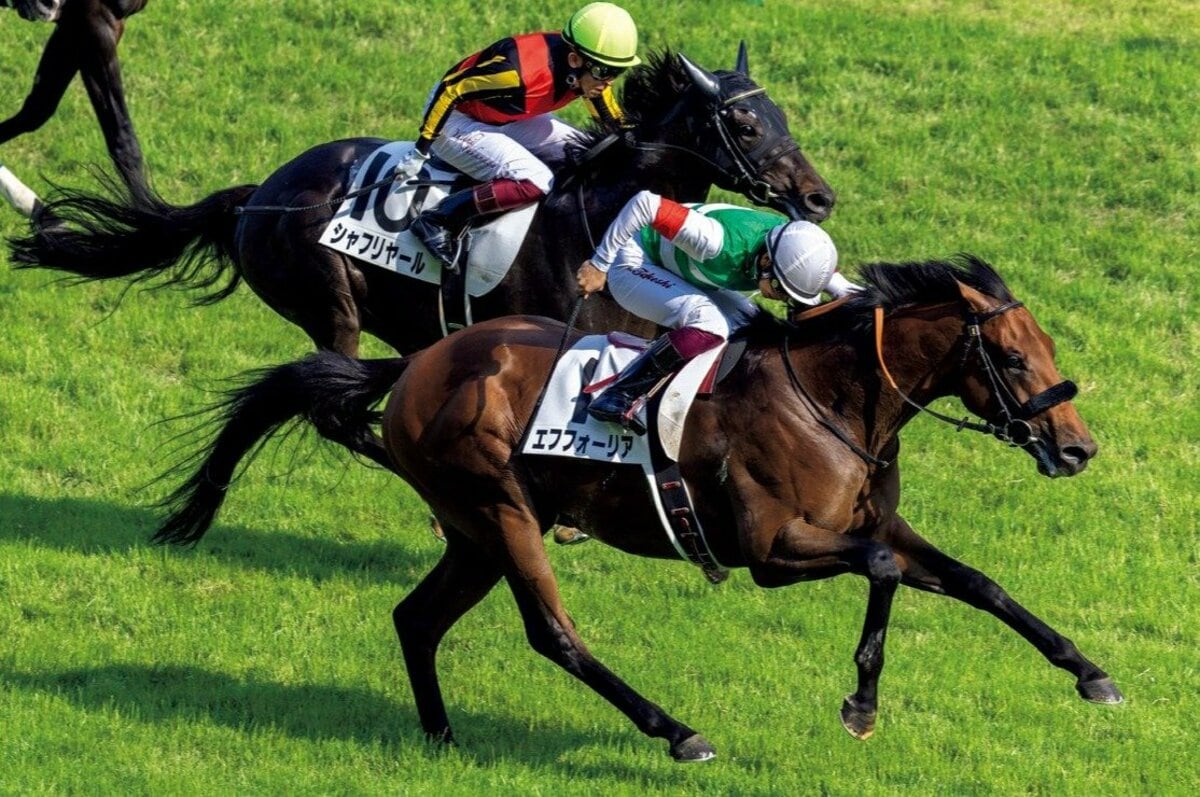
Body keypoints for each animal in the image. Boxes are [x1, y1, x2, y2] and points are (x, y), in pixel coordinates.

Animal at [9, 46, 834, 358]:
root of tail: (259, 198)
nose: (818, 196)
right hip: (328, 305)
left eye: (783, 114)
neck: (597, 220)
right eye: (746, 124)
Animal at [149, 255, 1122, 760]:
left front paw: (1090, 672)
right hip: (500, 511)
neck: (832, 399)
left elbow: (980, 583)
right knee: (553, 633)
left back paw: (439, 734)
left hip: (473, 532)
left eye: (1046, 344)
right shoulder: (774, 550)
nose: (1077, 446)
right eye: (1012, 354)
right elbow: (883, 573)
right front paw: (860, 701)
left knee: (416, 618)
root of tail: (418, 362)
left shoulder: (867, 523)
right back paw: (674, 730)